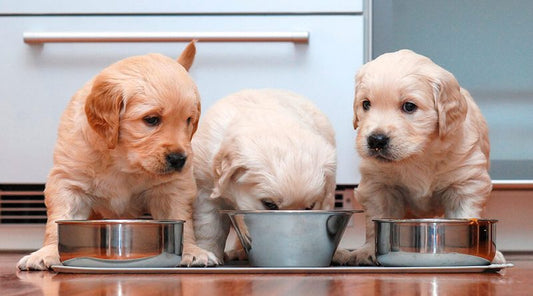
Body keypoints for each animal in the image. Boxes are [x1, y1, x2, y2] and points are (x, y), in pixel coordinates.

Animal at [18, 41, 218, 270]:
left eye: (189, 120)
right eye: (151, 119)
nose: (179, 159)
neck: (122, 160)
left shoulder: (172, 187)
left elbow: (180, 217)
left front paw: (191, 251)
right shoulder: (68, 181)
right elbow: (58, 220)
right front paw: (48, 252)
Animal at [350, 49, 502, 264]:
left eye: (409, 106)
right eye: (366, 104)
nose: (376, 140)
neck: (419, 155)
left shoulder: (466, 182)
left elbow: (465, 213)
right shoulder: (377, 185)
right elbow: (375, 220)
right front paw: (368, 250)